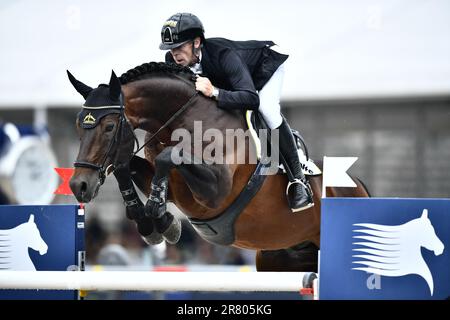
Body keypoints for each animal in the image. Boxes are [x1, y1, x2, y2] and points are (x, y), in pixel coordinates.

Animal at [67, 63, 370, 272]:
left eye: (108, 126)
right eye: (78, 124)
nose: (79, 186)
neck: (182, 119)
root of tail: (360, 188)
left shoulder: (215, 192)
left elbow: (168, 156)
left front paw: (160, 216)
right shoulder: (174, 186)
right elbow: (125, 166)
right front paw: (150, 222)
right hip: (279, 257)